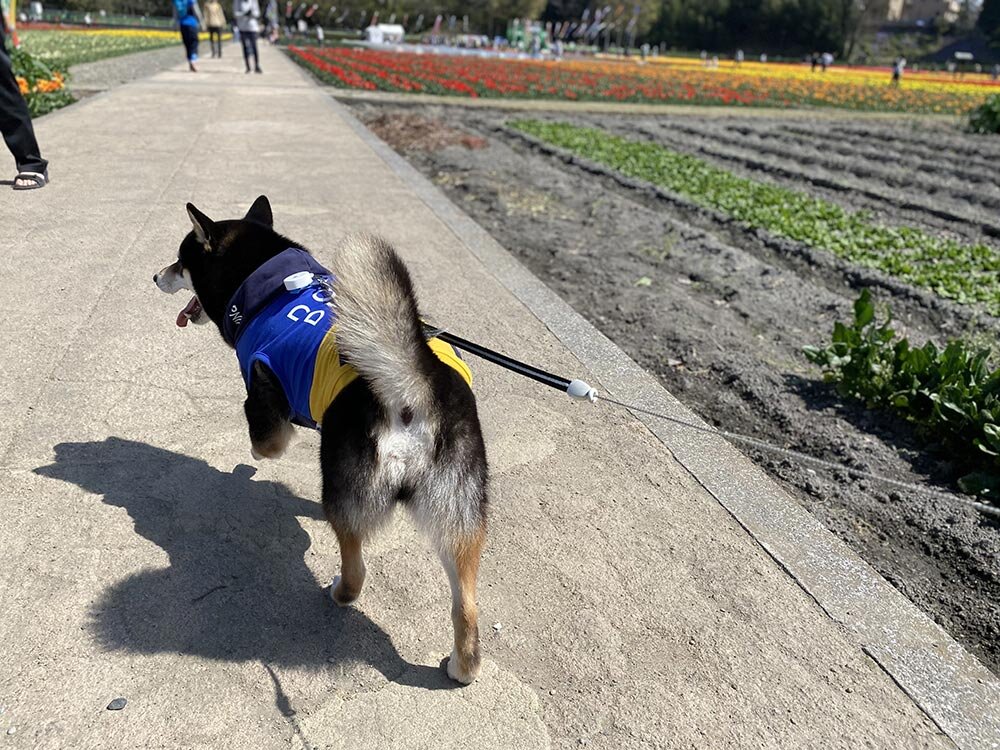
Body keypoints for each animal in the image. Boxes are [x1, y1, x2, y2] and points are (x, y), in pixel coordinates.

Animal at [151, 195, 488, 688]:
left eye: (181, 259)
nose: (155, 276)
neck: (266, 287)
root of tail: (413, 388)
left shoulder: (264, 398)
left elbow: (267, 444)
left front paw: (250, 465)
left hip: (346, 491)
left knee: (357, 567)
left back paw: (340, 593)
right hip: (459, 511)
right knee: (466, 603)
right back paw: (463, 667)